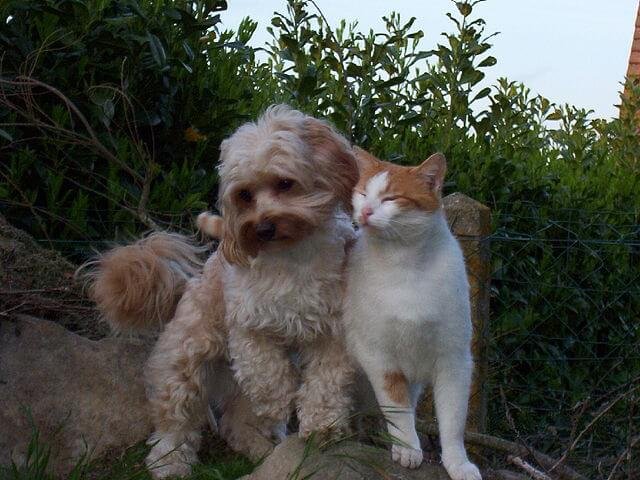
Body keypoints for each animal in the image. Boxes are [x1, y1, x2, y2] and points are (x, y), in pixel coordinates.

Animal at [87, 105, 360, 476]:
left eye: (285, 183)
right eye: (244, 195)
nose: (262, 227)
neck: (291, 257)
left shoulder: (333, 333)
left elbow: (326, 383)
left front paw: (324, 426)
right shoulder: (248, 328)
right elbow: (267, 373)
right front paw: (280, 399)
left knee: (236, 423)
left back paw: (263, 450)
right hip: (185, 366)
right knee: (175, 424)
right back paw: (170, 464)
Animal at [344, 149, 480, 480]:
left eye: (391, 198)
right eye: (362, 193)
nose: (365, 211)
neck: (405, 265)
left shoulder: (454, 359)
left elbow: (453, 420)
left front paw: (458, 463)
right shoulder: (379, 357)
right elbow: (398, 408)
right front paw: (407, 449)